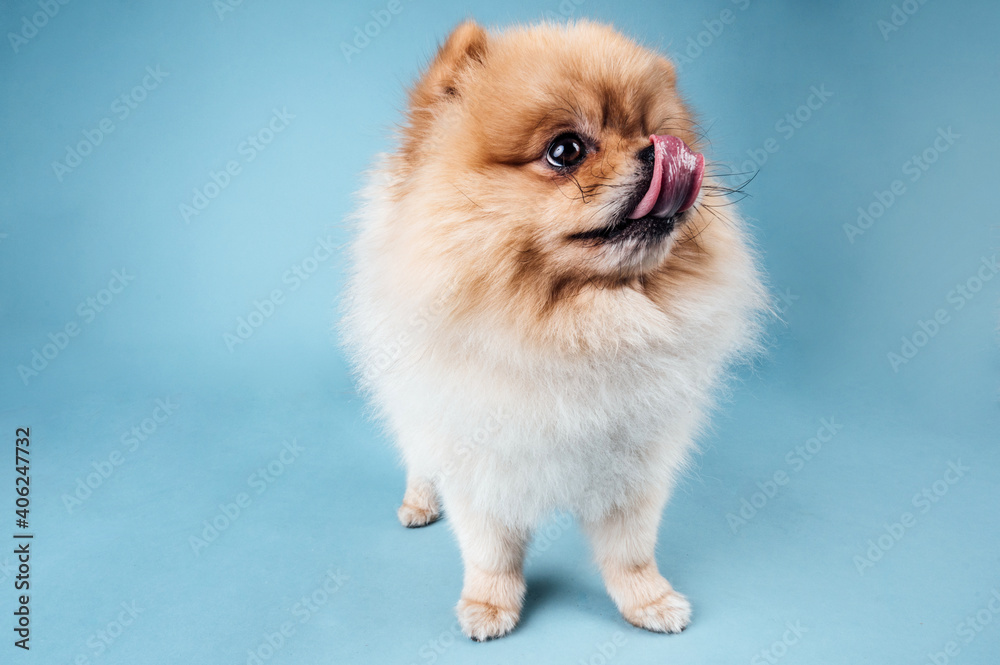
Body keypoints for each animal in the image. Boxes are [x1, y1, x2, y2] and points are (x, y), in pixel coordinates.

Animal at [342, 19, 764, 640]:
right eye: (565, 151)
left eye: (652, 131)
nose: (657, 150)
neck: (576, 330)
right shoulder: (480, 458)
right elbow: (490, 548)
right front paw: (489, 605)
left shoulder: (634, 464)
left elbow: (630, 549)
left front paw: (648, 600)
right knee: (418, 453)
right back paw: (419, 501)